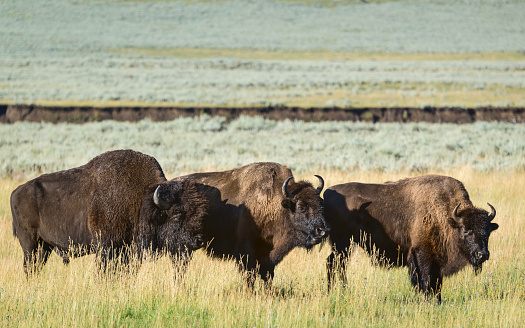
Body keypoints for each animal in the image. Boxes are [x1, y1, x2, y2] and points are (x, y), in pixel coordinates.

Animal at [10, 150, 207, 276]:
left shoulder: (129, 252)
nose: (198, 241)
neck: (142, 200)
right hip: (30, 244)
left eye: (199, 214)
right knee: (29, 267)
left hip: (44, 247)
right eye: (177, 215)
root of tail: (16, 192)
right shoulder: (106, 248)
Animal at [178, 162, 330, 288]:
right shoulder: (246, 253)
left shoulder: (268, 257)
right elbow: (250, 276)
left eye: (321, 205)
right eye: (301, 207)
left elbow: (268, 275)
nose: (323, 230)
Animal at [324, 174, 500, 302]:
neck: (447, 216)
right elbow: (425, 280)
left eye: (488, 232)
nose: (482, 254)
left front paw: (438, 301)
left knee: (337, 263)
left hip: (345, 245)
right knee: (334, 263)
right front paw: (429, 301)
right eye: (465, 230)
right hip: (343, 243)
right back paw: (336, 290)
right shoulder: (422, 254)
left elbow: (437, 283)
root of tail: (327, 193)